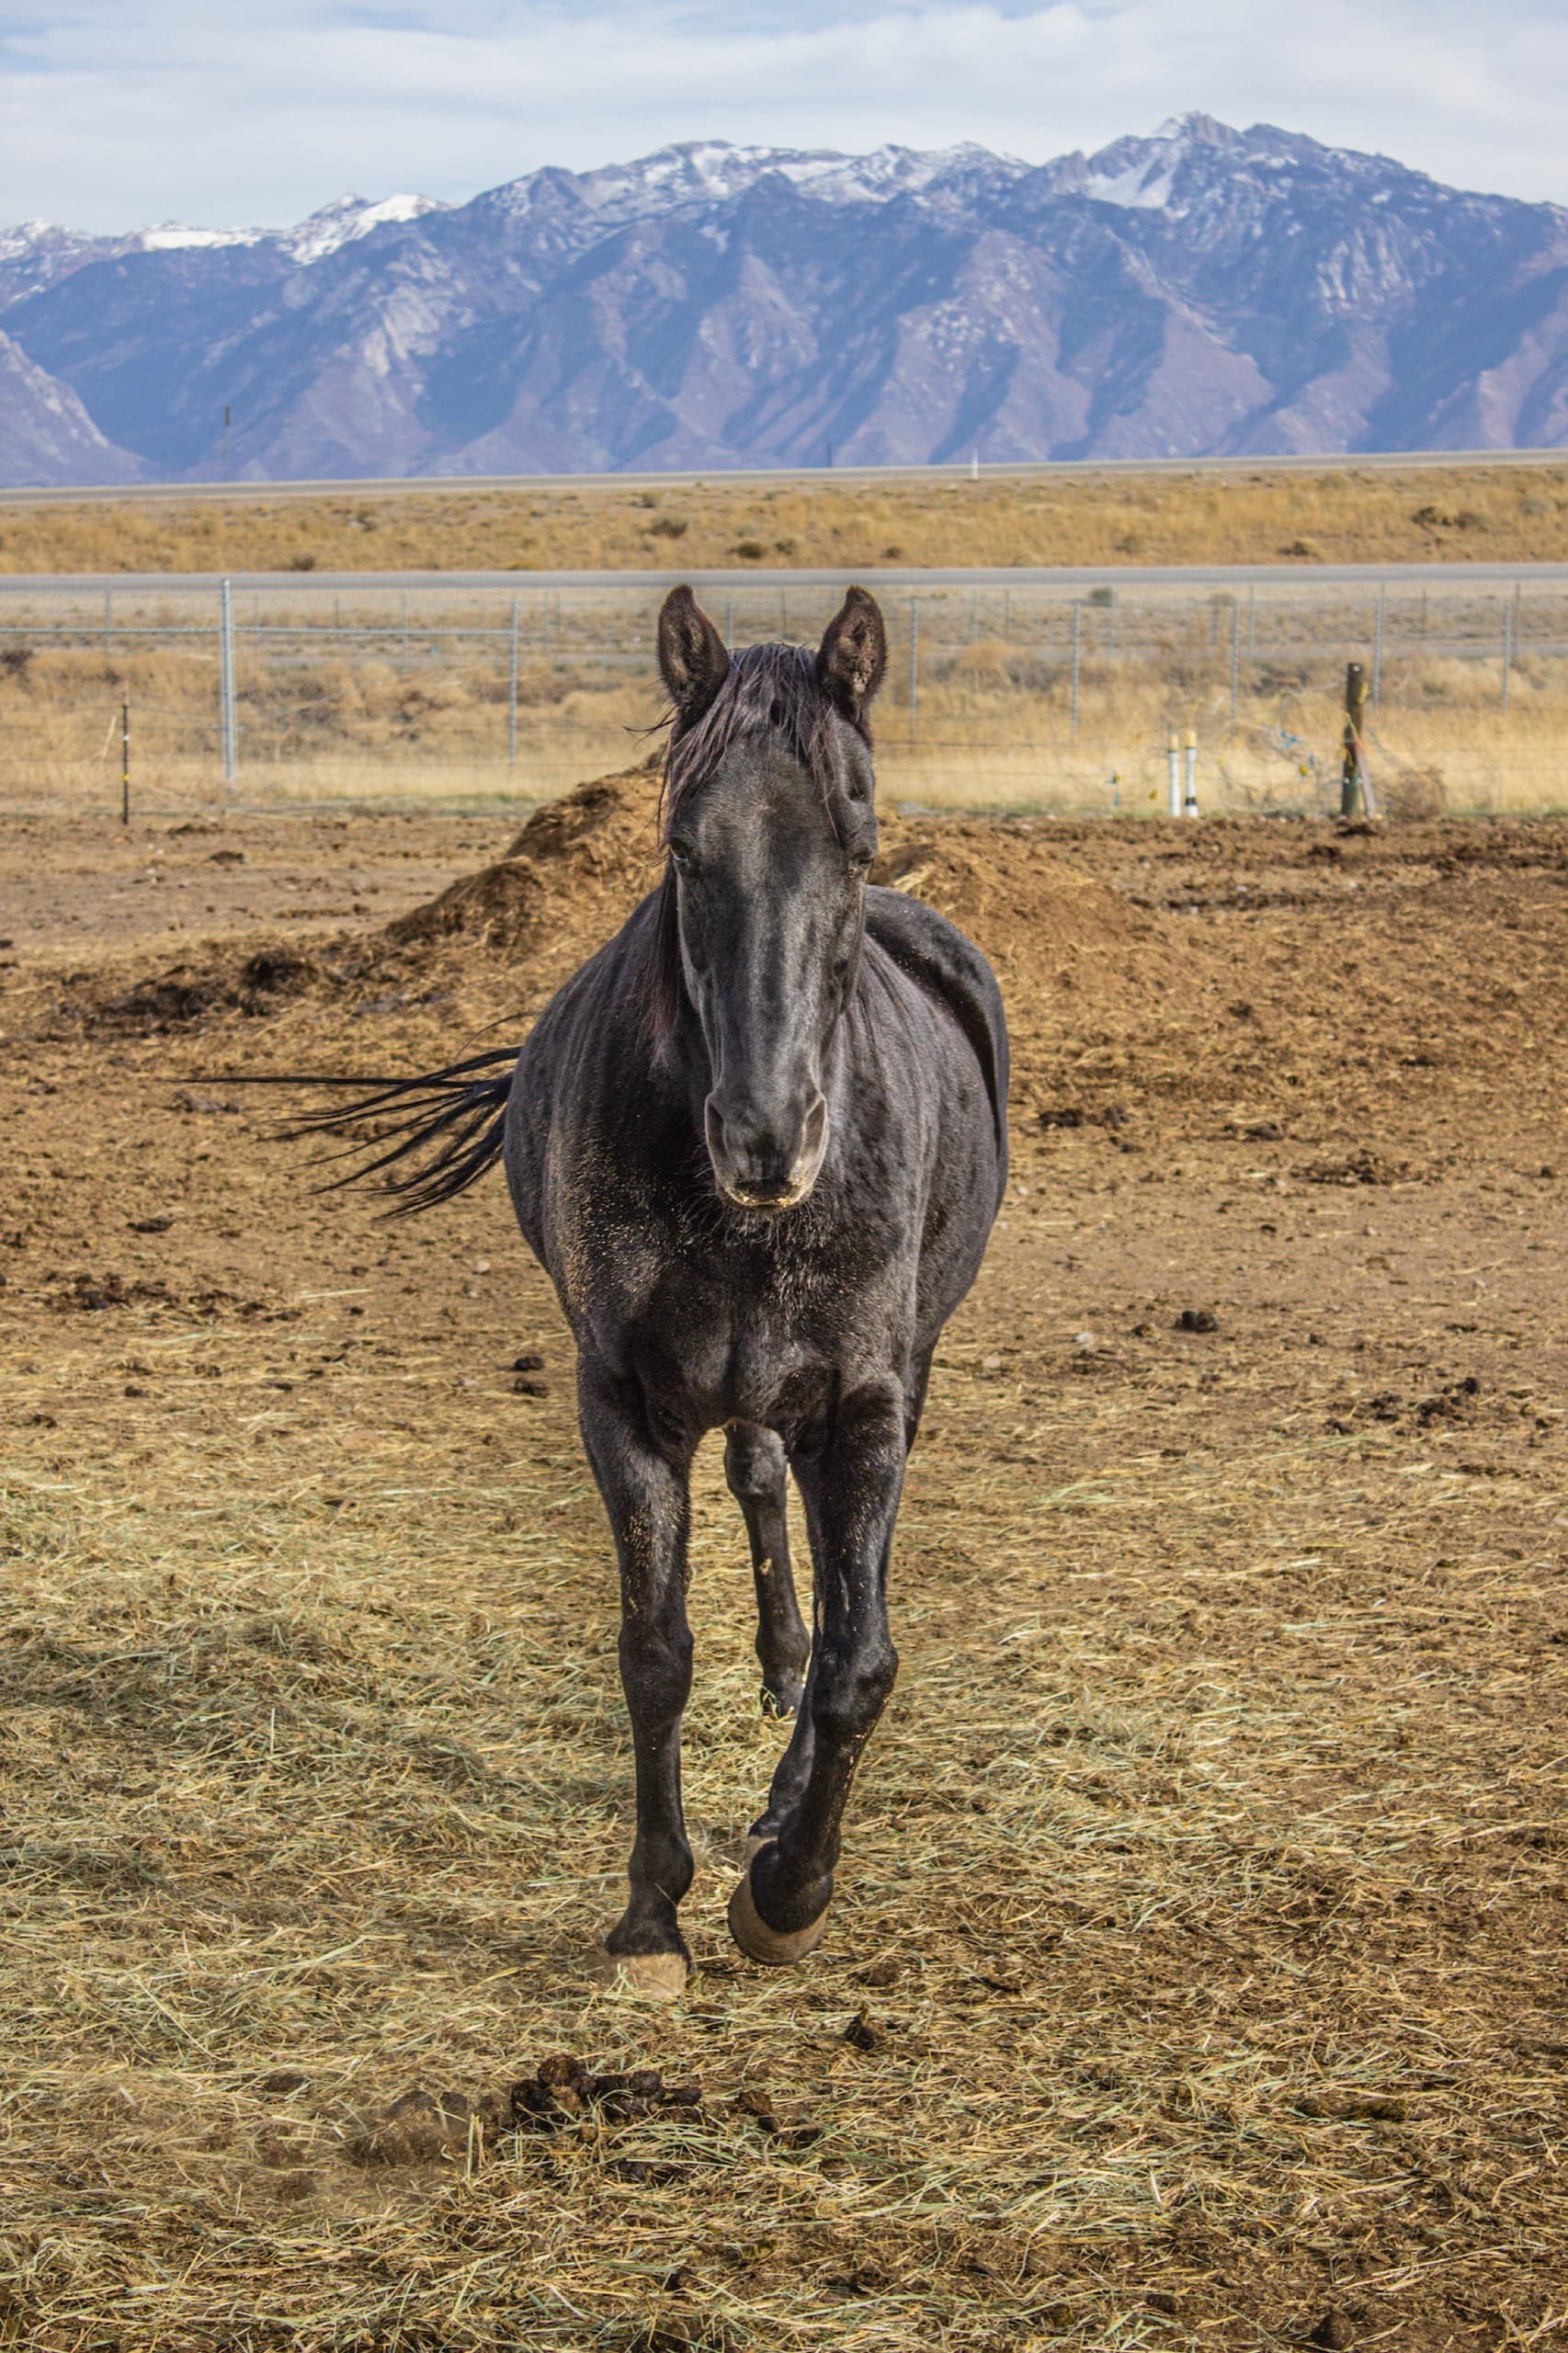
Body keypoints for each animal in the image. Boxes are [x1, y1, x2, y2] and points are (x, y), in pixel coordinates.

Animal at [299, 586, 1008, 1997]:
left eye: (857, 840)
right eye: (683, 847)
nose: (766, 1137)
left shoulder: (864, 1402)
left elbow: (863, 1658)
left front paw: (784, 1893)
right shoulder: (624, 1401)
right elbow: (654, 1650)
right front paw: (649, 1914)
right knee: (756, 1487)